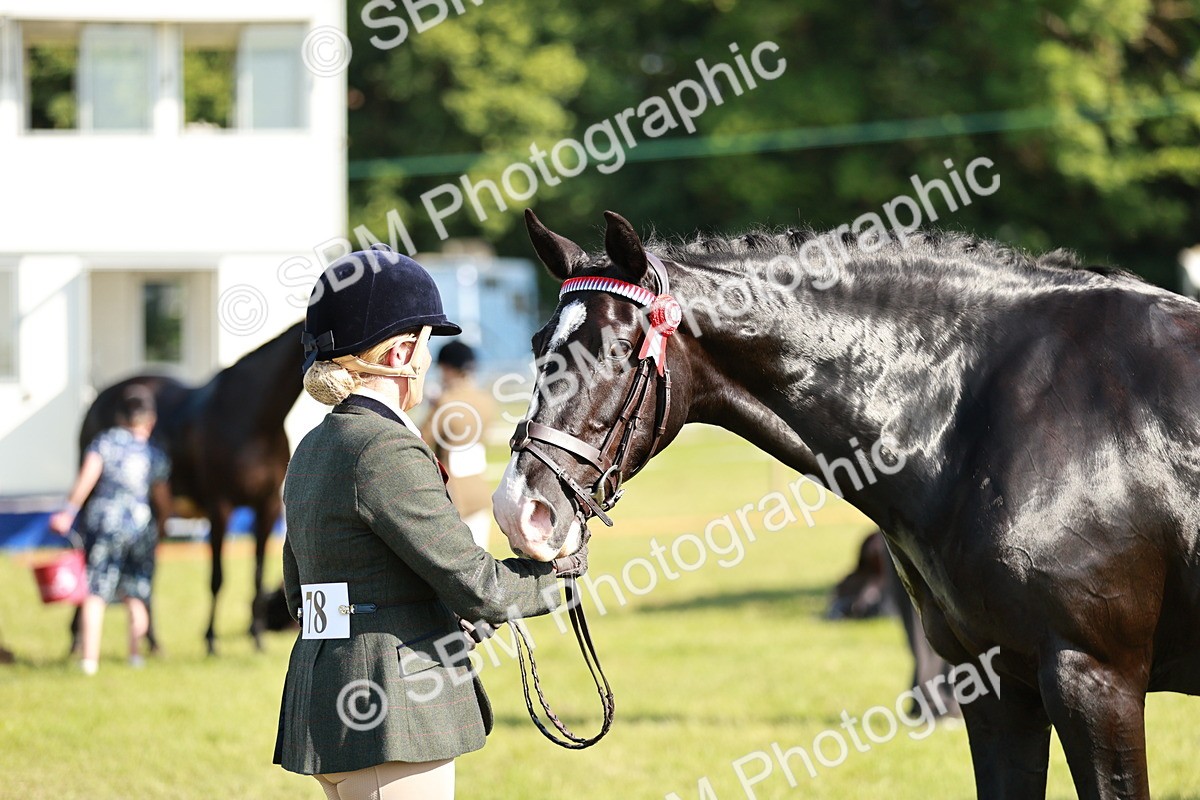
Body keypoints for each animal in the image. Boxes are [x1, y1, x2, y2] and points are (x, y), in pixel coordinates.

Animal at [79, 321, 304, 654]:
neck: (252, 417)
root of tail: (99, 398)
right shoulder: (220, 507)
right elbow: (217, 577)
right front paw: (210, 640)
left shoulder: (267, 507)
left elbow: (258, 574)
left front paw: (257, 637)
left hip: (154, 515)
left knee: (144, 575)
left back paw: (151, 642)